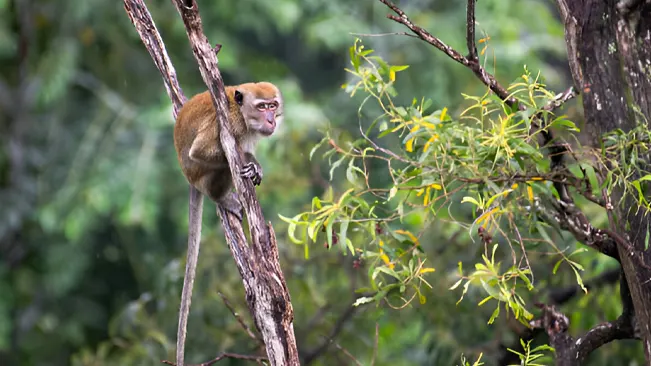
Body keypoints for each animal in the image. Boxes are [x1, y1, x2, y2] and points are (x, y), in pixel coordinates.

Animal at [173, 82, 282, 366]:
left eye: (273, 105)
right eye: (262, 107)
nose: (271, 120)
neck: (240, 112)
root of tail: (188, 179)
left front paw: (255, 165)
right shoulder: (228, 126)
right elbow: (201, 150)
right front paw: (250, 161)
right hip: (201, 173)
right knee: (220, 164)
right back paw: (221, 197)